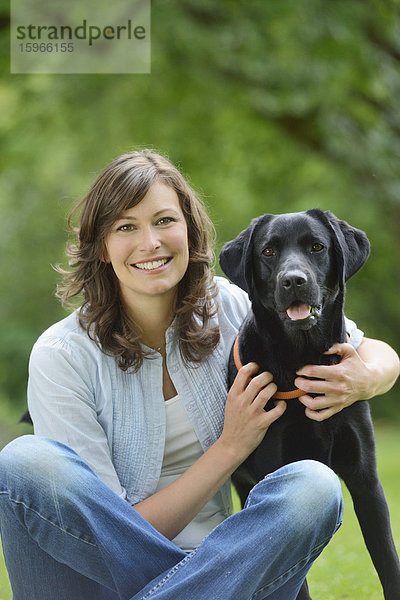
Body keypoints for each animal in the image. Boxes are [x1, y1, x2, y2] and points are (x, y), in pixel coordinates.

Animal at [219, 210, 400, 600]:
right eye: (268, 251)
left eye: (317, 247)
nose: (293, 281)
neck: (304, 356)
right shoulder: (278, 473)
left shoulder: (367, 479)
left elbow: (388, 561)